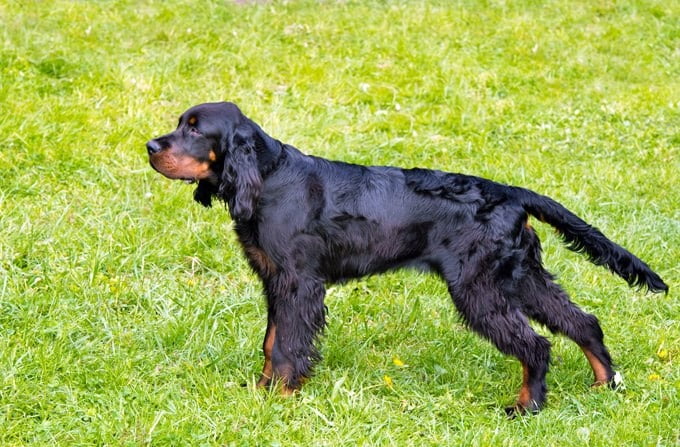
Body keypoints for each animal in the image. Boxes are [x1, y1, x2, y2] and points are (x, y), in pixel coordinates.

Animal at [147, 102, 664, 416]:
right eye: (179, 123)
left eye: (195, 129)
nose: (150, 146)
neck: (269, 177)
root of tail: (512, 193)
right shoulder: (275, 281)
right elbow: (272, 341)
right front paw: (263, 390)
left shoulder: (299, 282)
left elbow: (289, 344)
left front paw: (283, 395)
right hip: (518, 276)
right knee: (583, 322)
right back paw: (604, 385)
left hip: (478, 287)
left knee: (536, 344)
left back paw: (526, 407)